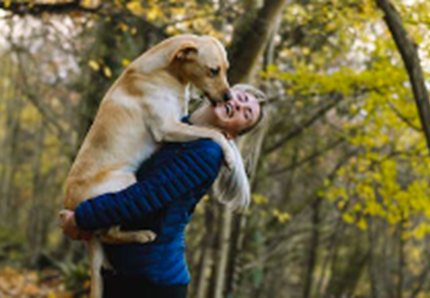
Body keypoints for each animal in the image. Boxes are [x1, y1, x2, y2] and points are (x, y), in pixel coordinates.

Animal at [63, 34, 239, 298]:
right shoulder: (167, 127)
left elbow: (208, 130)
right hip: (125, 181)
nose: (229, 98)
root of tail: (72, 206)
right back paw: (140, 235)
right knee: (109, 234)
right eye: (213, 71)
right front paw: (227, 153)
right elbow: (212, 133)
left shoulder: (178, 122)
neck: (167, 72)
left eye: (226, 70)